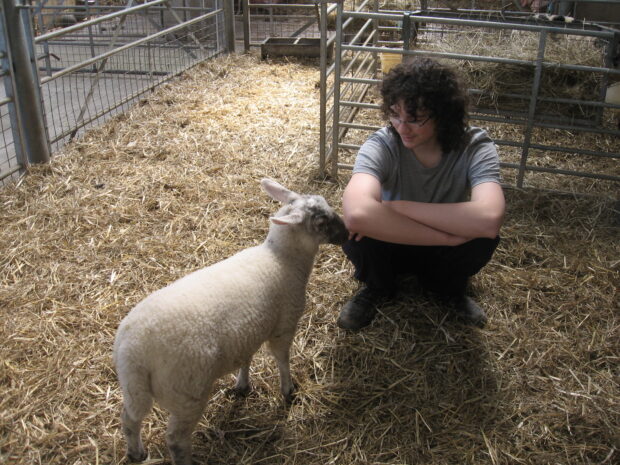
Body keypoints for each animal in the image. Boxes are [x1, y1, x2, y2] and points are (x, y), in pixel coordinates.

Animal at [112, 178, 348, 464]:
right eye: (322, 222)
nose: (347, 232)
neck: (281, 258)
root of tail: (135, 352)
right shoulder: (284, 324)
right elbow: (282, 359)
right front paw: (288, 390)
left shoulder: (247, 332)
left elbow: (245, 359)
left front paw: (243, 385)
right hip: (187, 393)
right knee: (176, 440)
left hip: (133, 388)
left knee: (130, 419)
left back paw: (136, 452)